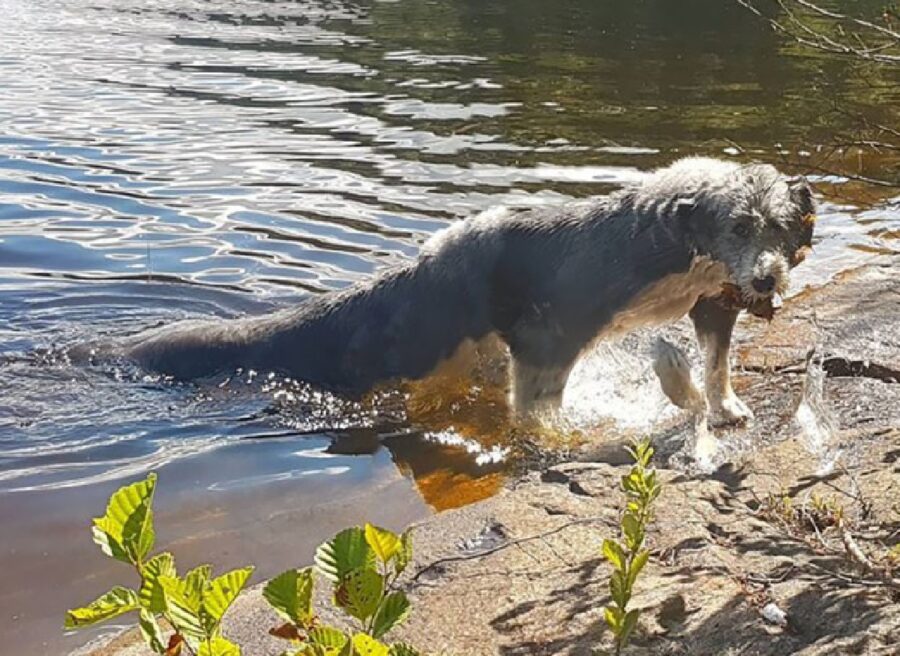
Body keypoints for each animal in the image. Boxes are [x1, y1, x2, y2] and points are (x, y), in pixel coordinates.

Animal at [112, 158, 816, 420]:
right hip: (416, 348)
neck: (665, 240)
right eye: (737, 226)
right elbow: (537, 407)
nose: (767, 278)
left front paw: (722, 407)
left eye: (781, 229)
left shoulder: (714, 304)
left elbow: (717, 363)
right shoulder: (547, 336)